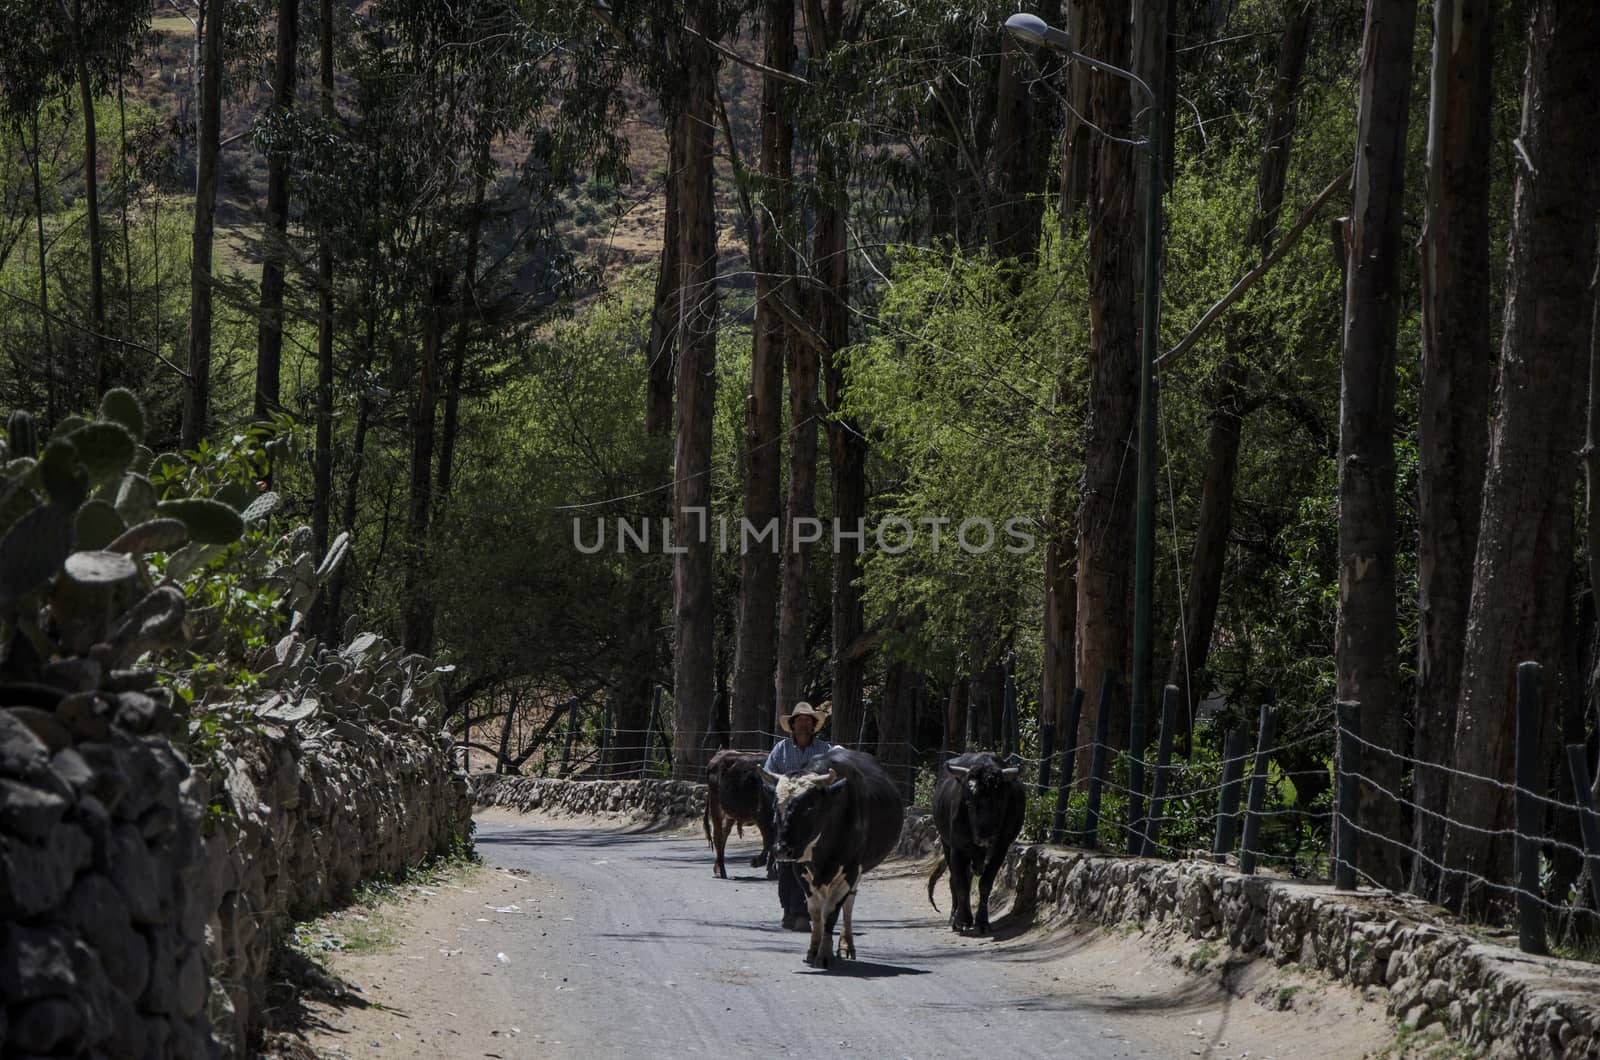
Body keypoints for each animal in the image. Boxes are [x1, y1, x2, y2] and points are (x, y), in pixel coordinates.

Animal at [700, 752, 774, 883]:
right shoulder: (762, 816)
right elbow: (769, 840)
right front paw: (757, 862)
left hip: (731, 811)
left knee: (724, 833)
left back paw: (717, 867)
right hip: (715, 803)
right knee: (718, 835)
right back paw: (722, 871)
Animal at [764, 746, 908, 973]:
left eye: (810, 806)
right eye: (775, 805)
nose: (781, 850)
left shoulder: (849, 869)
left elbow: (830, 913)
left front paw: (824, 955)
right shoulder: (801, 869)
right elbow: (815, 912)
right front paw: (814, 950)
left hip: (858, 870)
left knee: (849, 903)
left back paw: (846, 944)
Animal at [928, 752, 1024, 935]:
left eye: (1000, 803)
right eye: (969, 803)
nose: (984, 837)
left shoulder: (1000, 849)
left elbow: (985, 885)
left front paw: (982, 922)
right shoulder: (957, 849)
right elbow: (960, 885)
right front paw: (961, 920)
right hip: (946, 844)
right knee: (955, 880)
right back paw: (955, 915)